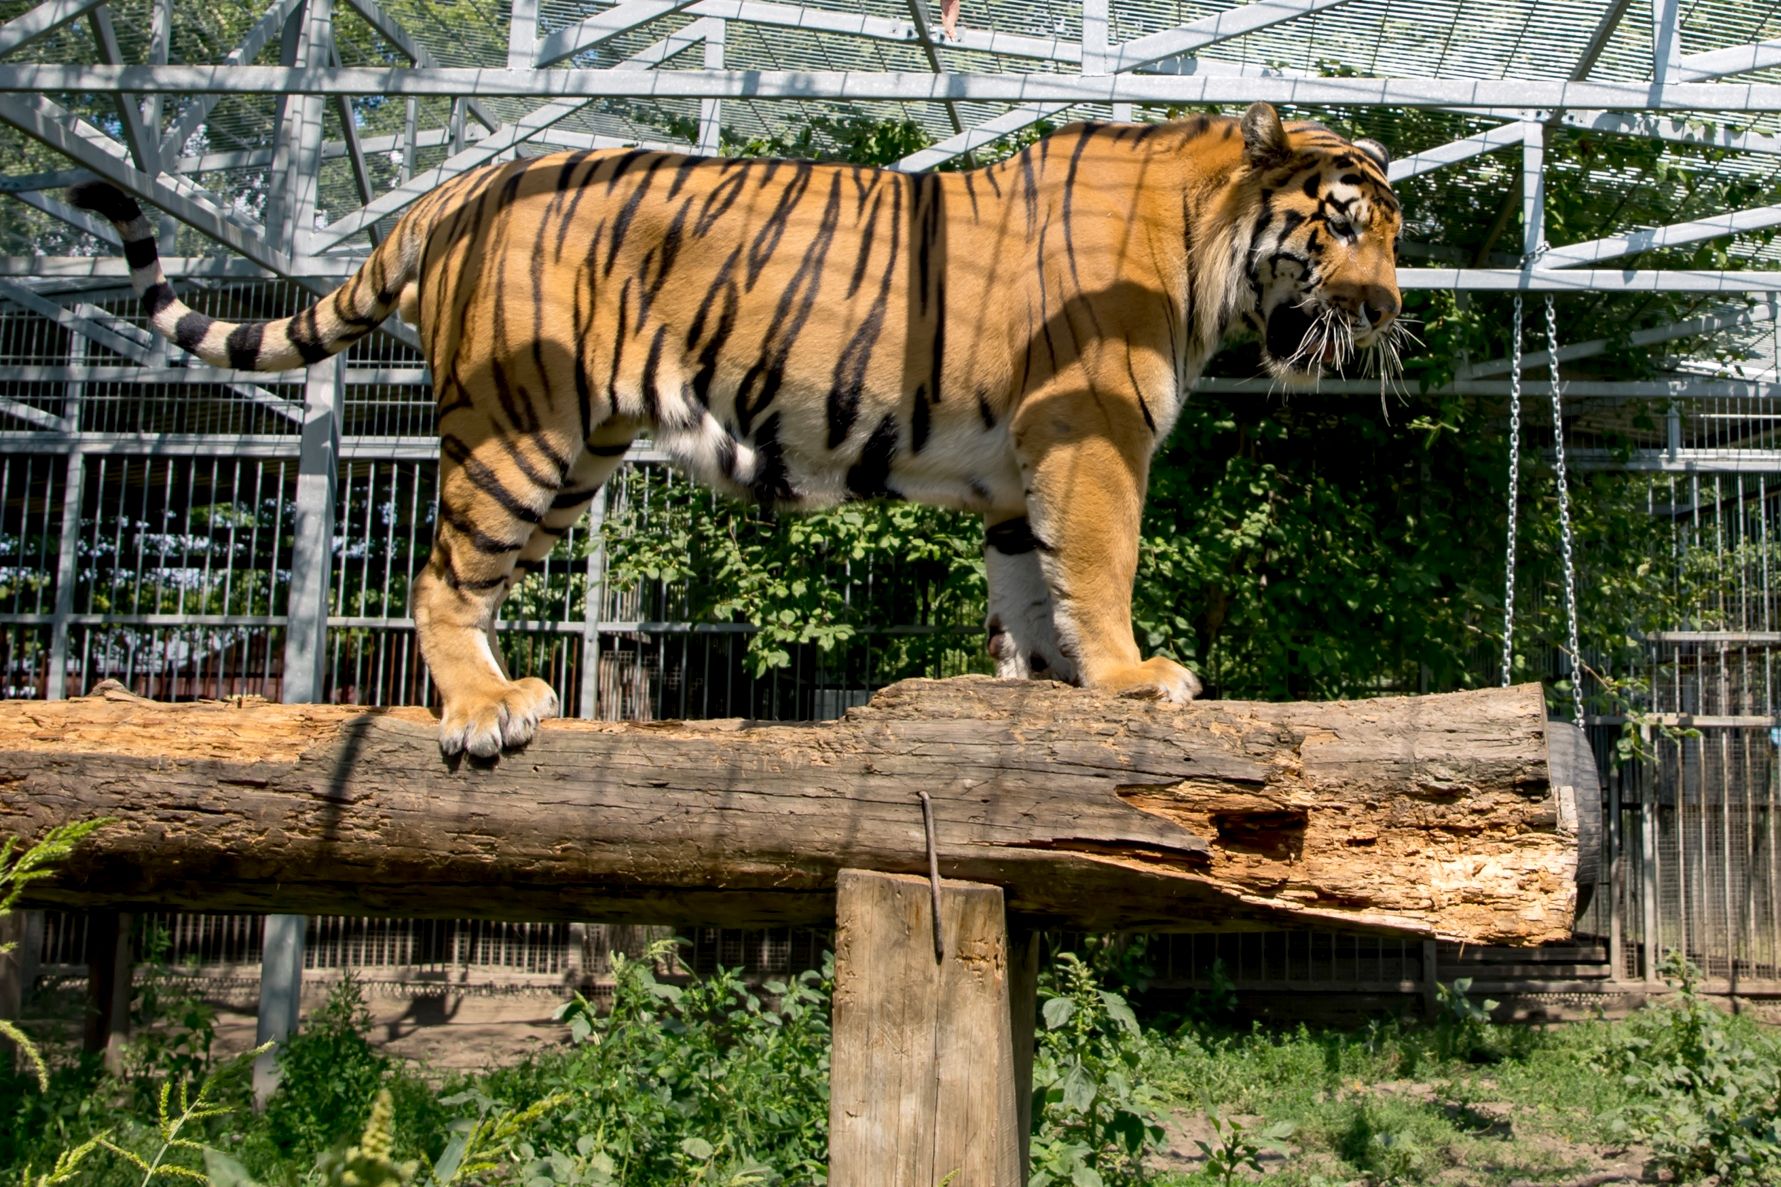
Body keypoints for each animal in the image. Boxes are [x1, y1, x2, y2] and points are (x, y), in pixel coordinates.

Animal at [68, 100, 1404, 758]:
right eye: (1341, 223)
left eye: (1386, 232)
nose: (1391, 307)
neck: (1205, 250)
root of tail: (462, 184)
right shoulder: (1090, 436)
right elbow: (1102, 562)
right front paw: (1133, 676)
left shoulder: (1018, 477)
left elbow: (1031, 590)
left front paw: (1050, 685)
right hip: (517, 431)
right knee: (438, 576)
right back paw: (485, 708)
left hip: (572, 451)